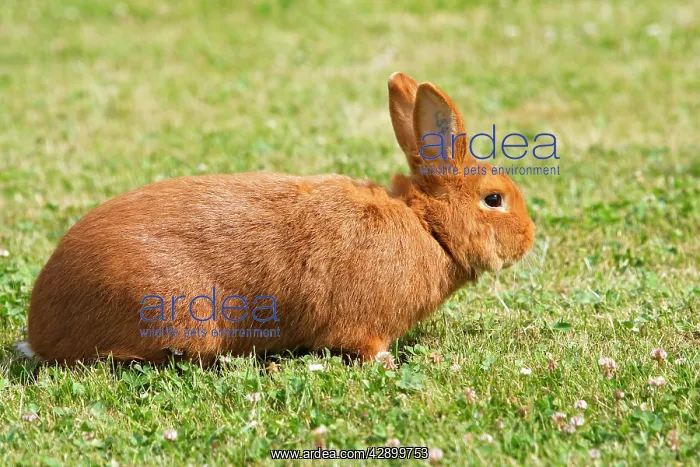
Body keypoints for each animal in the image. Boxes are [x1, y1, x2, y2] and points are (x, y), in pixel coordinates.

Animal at [19, 72, 535, 365]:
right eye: (494, 199)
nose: (530, 238)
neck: (428, 227)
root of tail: (41, 328)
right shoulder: (361, 326)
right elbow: (365, 347)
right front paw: (388, 364)